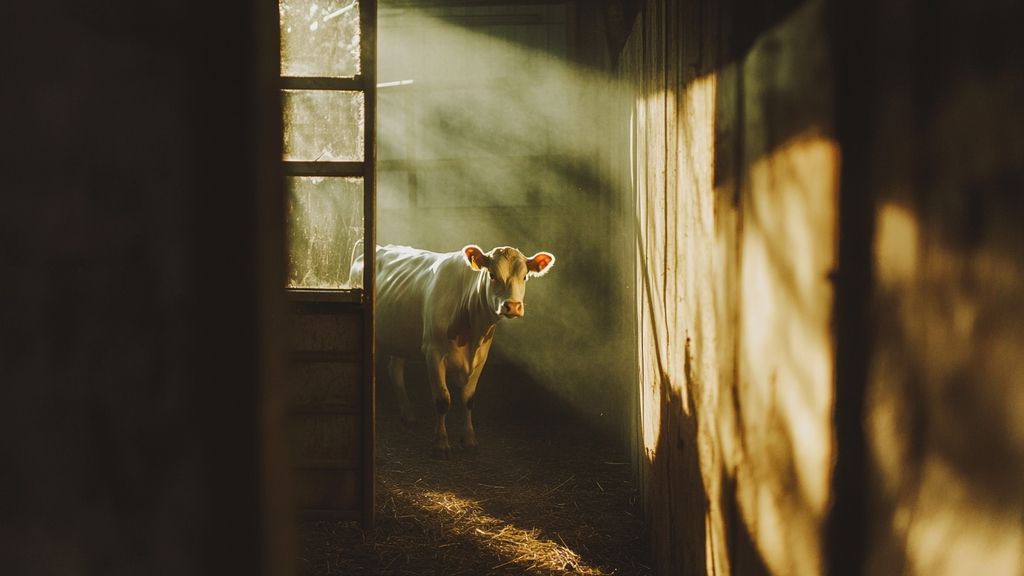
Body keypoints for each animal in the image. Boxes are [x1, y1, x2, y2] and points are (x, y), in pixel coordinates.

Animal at [352, 244, 556, 458]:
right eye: (492, 275)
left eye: (524, 277)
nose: (513, 306)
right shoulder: (433, 353)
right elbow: (442, 400)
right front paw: (441, 443)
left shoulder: (482, 357)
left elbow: (468, 399)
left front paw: (469, 439)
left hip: (399, 336)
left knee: (396, 371)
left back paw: (408, 414)